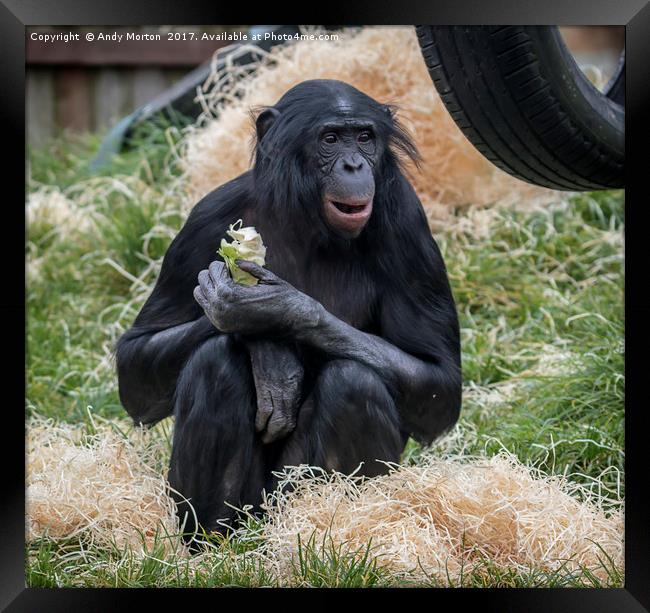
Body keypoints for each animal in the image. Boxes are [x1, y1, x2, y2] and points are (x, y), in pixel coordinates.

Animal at [116, 79, 460, 536]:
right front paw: (267, 350)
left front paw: (272, 310)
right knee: (213, 361)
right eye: (330, 139)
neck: (308, 219)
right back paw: (211, 540)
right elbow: (135, 362)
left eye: (364, 137)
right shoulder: (203, 221)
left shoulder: (407, 225)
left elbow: (439, 378)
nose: (354, 165)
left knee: (354, 380)